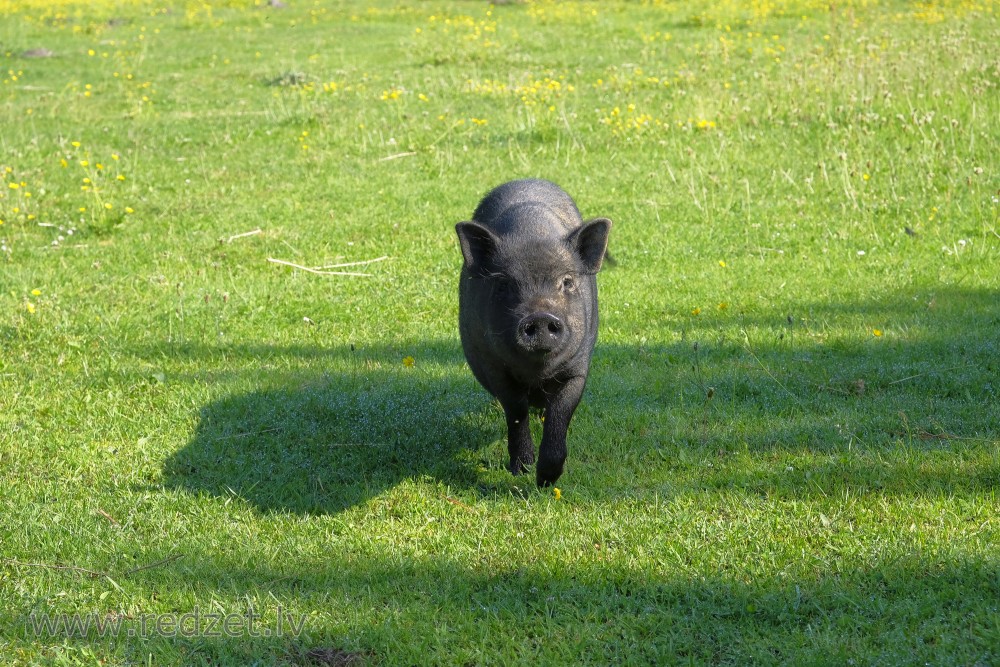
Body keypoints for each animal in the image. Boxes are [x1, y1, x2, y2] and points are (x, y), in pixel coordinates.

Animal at [458, 180, 612, 488]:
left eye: (567, 281)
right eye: (504, 284)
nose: (539, 317)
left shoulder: (578, 367)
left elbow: (561, 412)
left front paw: (545, 481)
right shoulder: (494, 366)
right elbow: (515, 410)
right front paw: (523, 469)